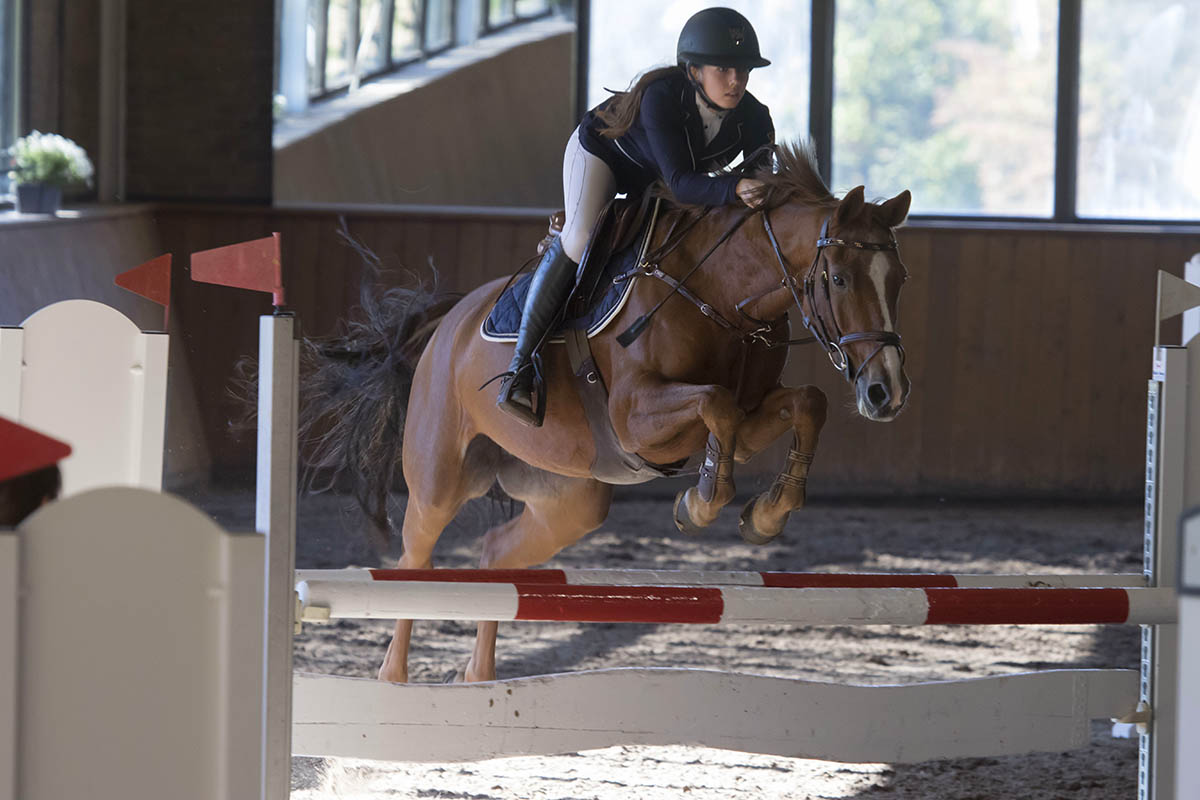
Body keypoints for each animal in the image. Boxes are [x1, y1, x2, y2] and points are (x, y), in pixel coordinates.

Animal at [300, 142, 907, 681]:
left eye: (898, 280)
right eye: (838, 278)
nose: (887, 392)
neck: (718, 294)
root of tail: (450, 320)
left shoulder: (754, 410)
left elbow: (804, 403)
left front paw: (767, 513)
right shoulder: (635, 418)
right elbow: (716, 402)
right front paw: (701, 502)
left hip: (571, 498)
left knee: (496, 555)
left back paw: (479, 678)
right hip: (439, 481)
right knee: (414, 564)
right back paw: (395, 676)